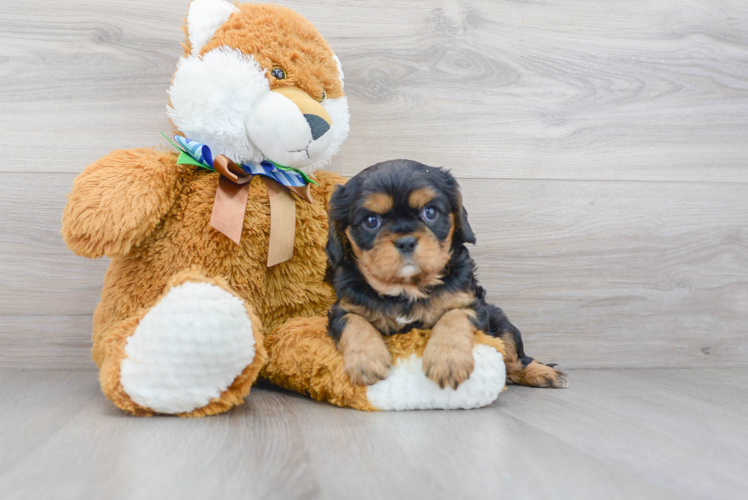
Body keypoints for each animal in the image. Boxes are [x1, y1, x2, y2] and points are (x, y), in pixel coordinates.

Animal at [326, 160, 568, 390]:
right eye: (371, 221)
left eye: (430, 212)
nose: (406, 241)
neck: (407, 288)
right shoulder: (342, 310)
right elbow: (354, 322)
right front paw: (366, 361)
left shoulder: (471, 304)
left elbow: (454, 316)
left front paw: (448, 362)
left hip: (501, 321)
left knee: (514, 360)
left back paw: (545, 373)